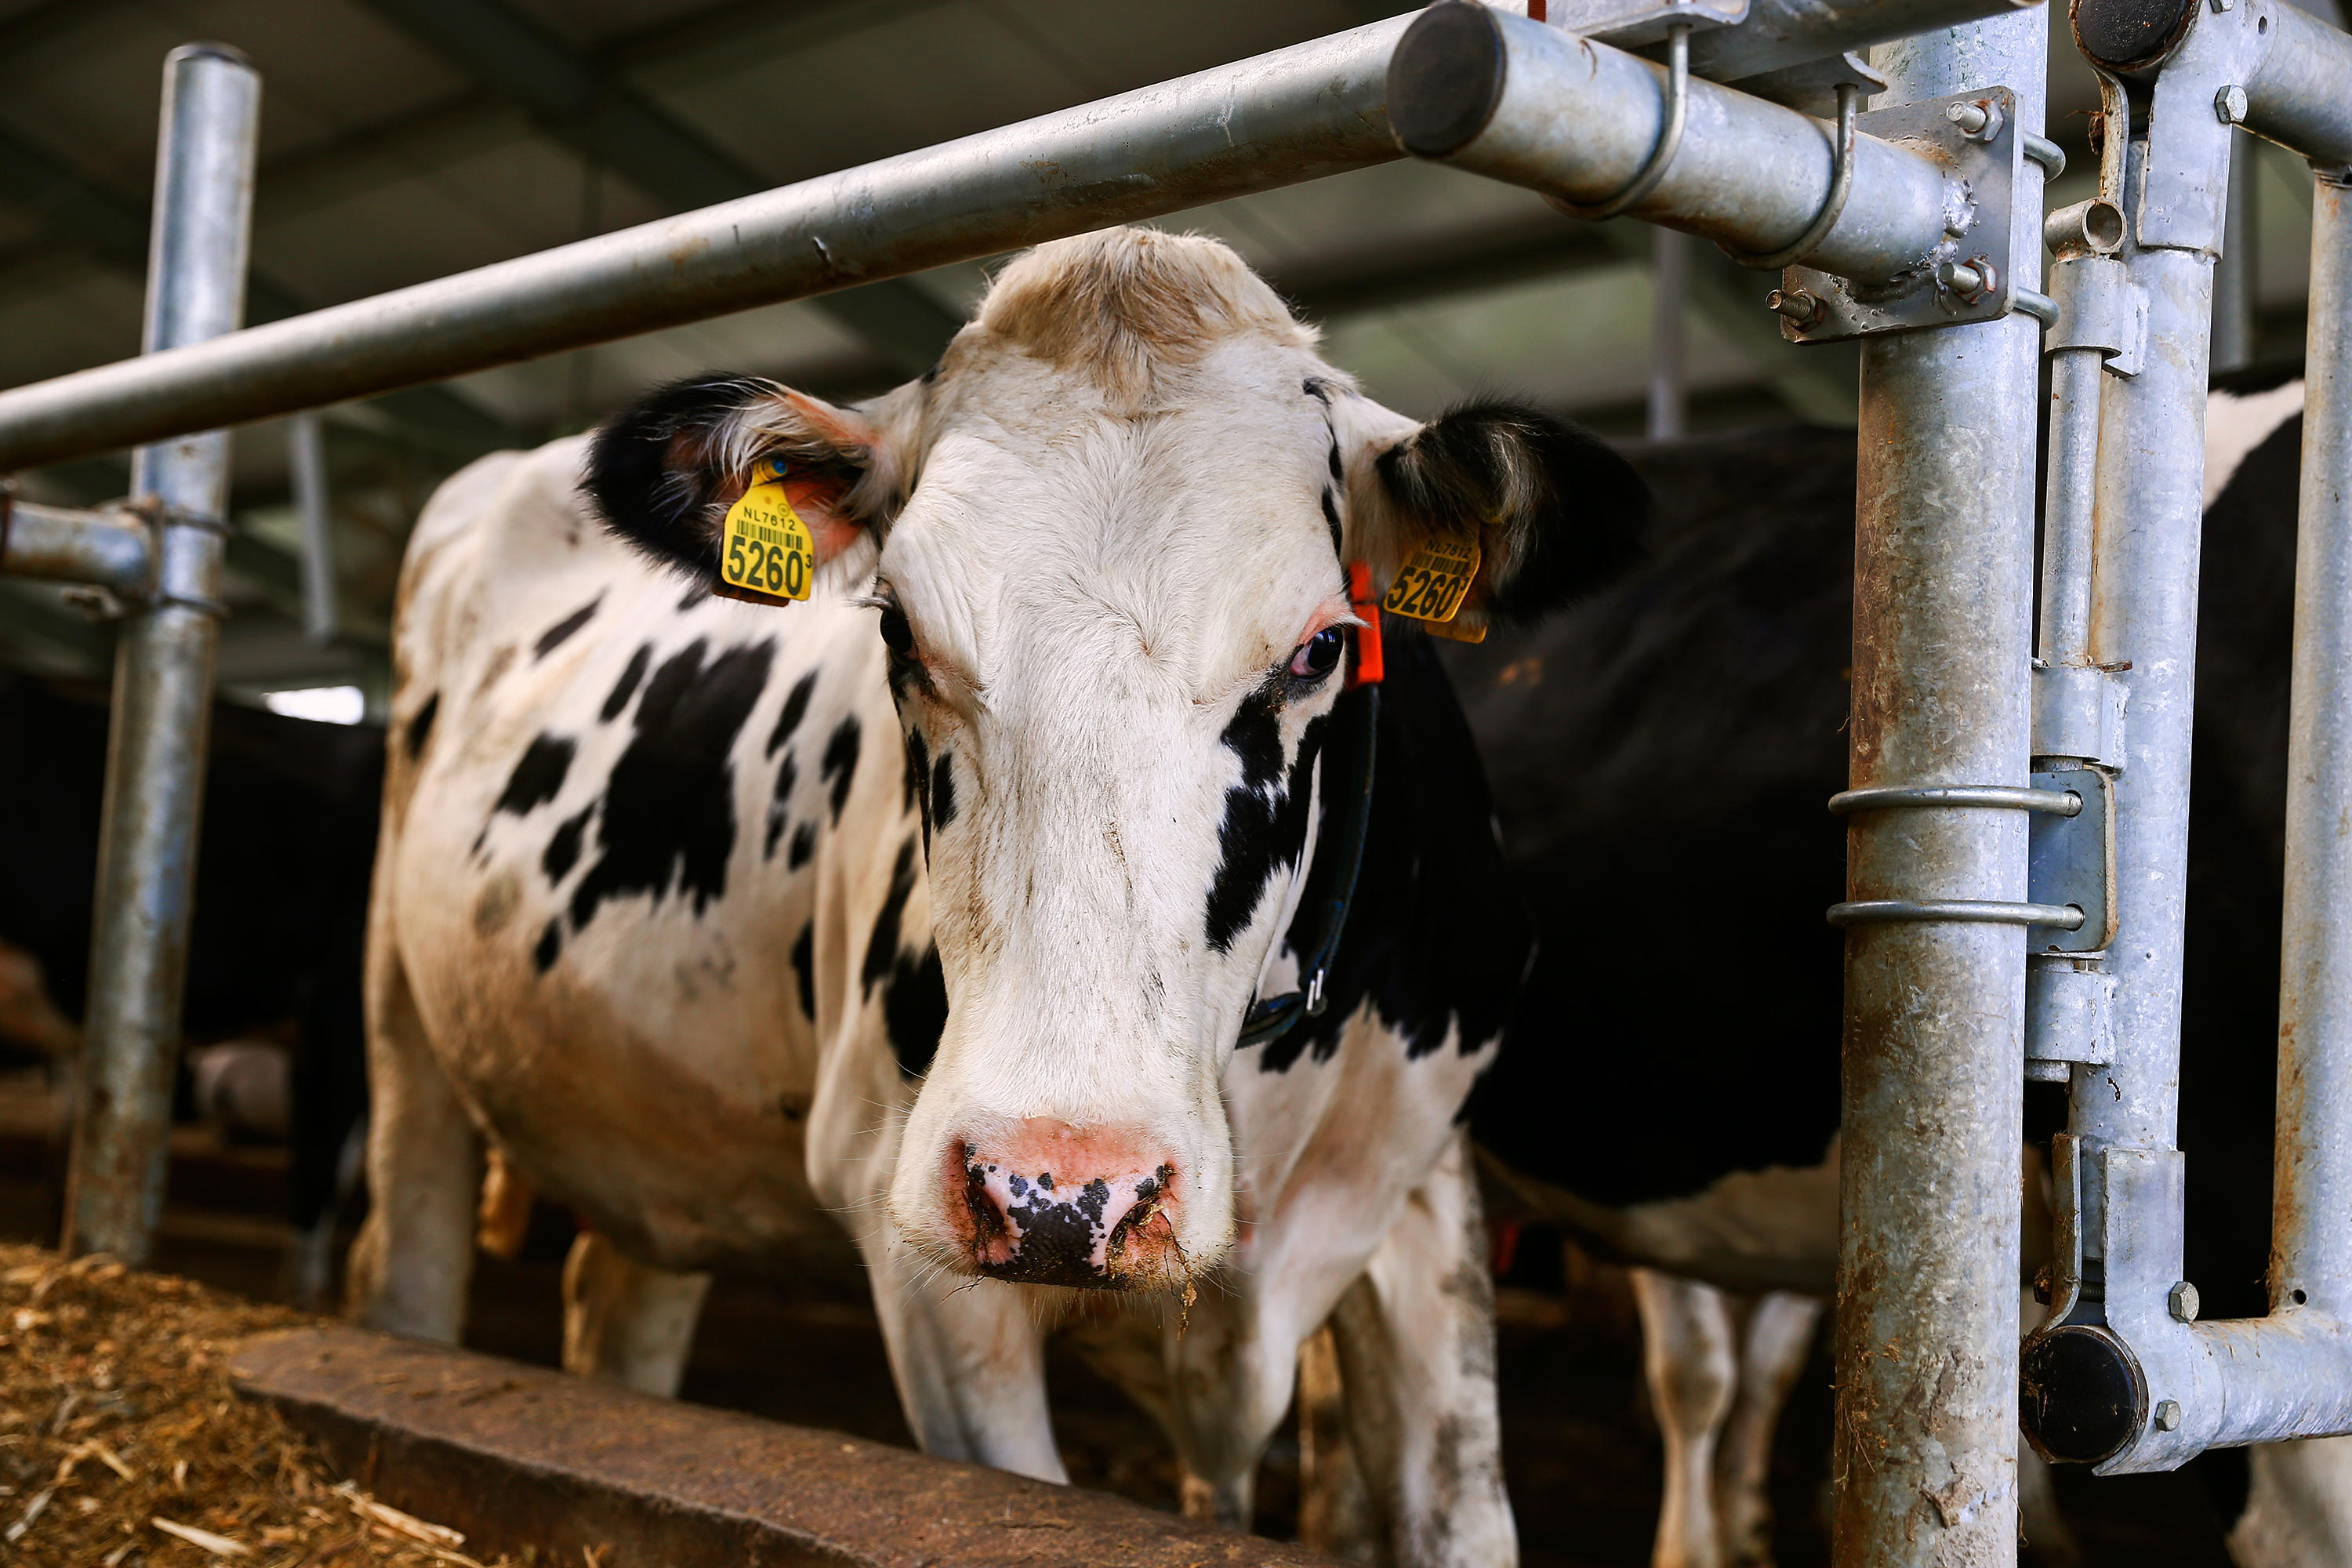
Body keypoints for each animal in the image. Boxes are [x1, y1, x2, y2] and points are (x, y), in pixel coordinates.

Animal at [358, 223, 1646, 1568]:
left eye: (1320, 647)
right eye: (898, 631)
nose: (1065, 1191)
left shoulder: (1424, 1202)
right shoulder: (919, 1246)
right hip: (403, 1032)